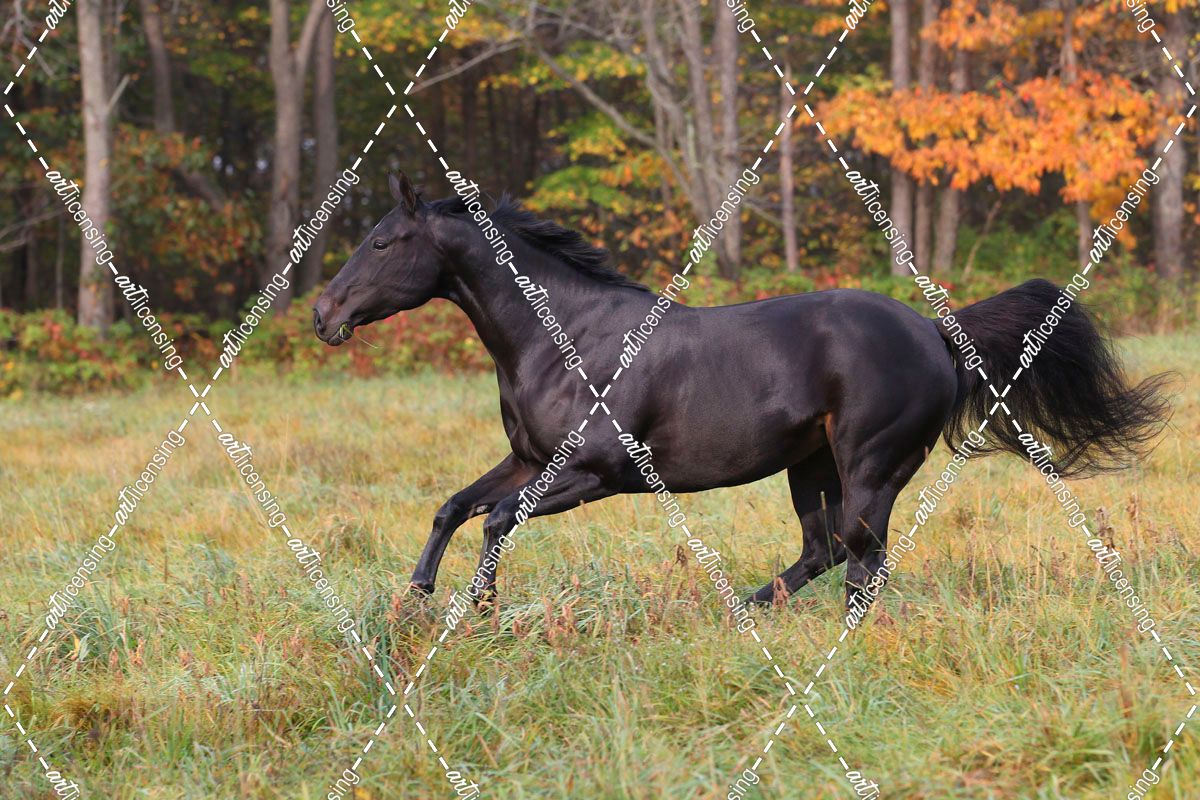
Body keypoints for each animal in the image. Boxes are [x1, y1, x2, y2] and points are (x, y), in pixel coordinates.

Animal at [312, 172, 1170, 612]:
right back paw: (748, 609)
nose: (323, 313)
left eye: (383, 242)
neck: (566, 339)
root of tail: (934, 330)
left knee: (862, 557)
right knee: (827, 550)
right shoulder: (529, 459)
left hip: (871, 462)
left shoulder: (593, 474)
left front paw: (476, 611)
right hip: (811, 465)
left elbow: (494, 521)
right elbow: (454, 507)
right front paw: (418, 598)